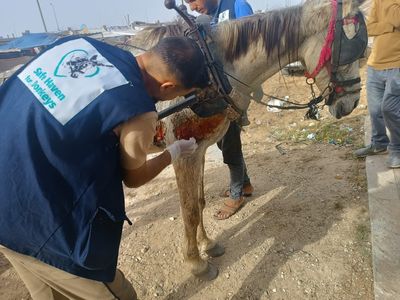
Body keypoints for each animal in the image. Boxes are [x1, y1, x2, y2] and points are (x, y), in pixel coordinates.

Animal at [119, 0, 368, 280]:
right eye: (352, 51)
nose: (352, 103)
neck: (212, 66)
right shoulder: (183, 155)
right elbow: (190, 211)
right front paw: (196, 263)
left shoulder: (199, 150)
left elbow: (200, 202)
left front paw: (208, 244)